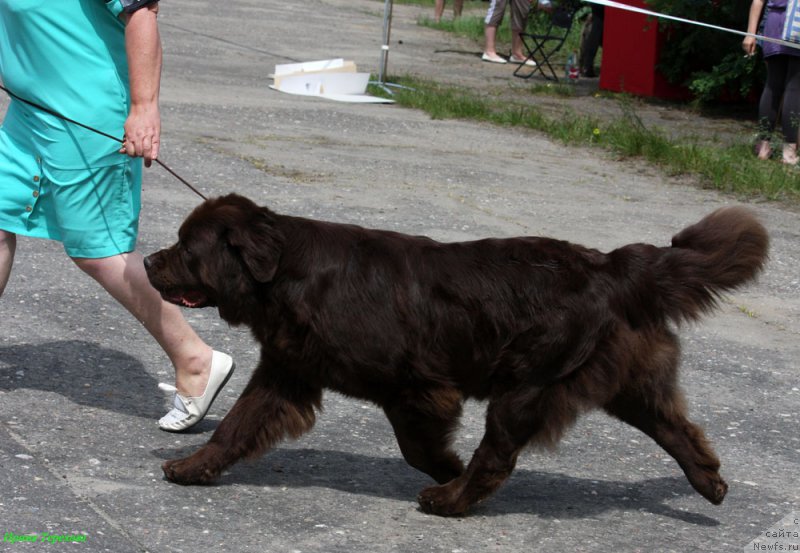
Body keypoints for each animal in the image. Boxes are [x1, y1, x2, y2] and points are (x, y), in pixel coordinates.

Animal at [144, 193, 768, 512]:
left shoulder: (415, 387)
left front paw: (449, 469)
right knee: (677, 429)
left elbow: (419, 446)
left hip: (528, 384)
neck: (286, 276)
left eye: (185, 246)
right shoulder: (287, 371)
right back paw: (710, 485)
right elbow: (236, 426)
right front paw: (193, 468)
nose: (148, 261)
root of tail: (613, 266)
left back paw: (450, 499)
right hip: (625, 381)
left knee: (498, 455)